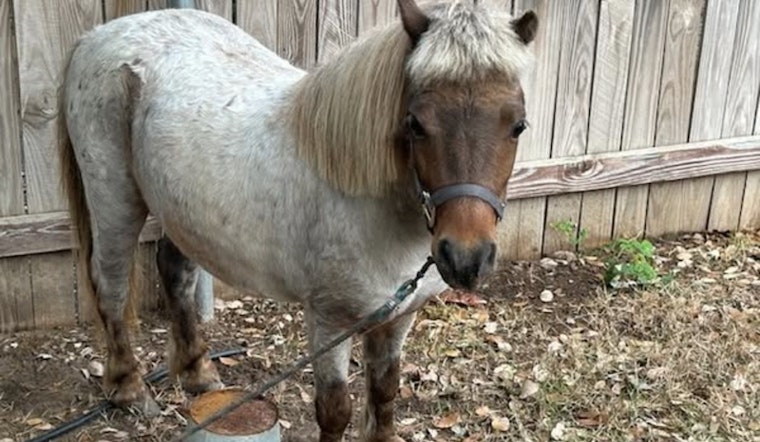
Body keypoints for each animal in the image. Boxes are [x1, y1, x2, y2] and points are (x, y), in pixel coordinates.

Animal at [58, 0, 537, 440]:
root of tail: (95, 36)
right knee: (112, 287)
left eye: (518, 125)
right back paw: (130, 389)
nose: (466, 258)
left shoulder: (399, 316)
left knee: (175, 273)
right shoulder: (330, 322)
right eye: (416, 123)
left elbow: (384, 393)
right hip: (116, 201)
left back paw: (198, 375)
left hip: (183, 211)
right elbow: (335, 410)